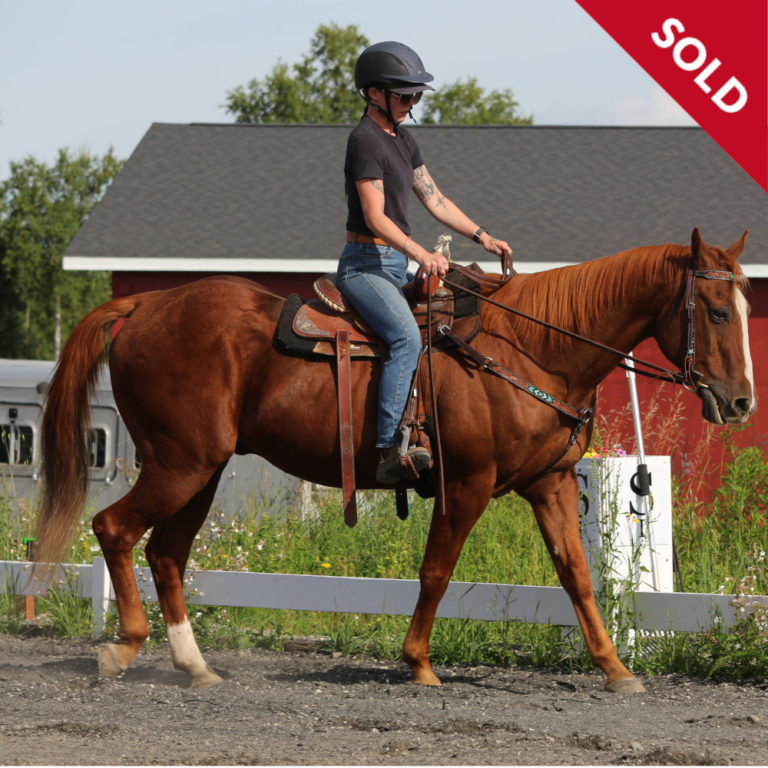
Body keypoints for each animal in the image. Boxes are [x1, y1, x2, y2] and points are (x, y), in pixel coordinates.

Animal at [34, 228, 755, 693]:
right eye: (718, 311)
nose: (741, 400)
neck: (530, 348)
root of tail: (147, 302)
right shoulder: (467, 484)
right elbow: (436, 572)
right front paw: (419, 664)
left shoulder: (549, 485)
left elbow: (577, 577)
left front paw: (616, 669)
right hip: (179, 465)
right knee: (114, 529)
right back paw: (124, 646)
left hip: (198, 472)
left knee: (164, 553)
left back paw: (193, 665)